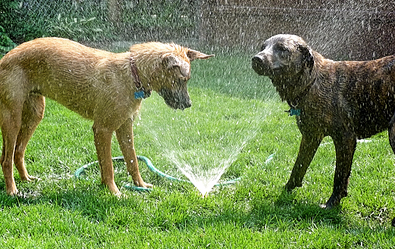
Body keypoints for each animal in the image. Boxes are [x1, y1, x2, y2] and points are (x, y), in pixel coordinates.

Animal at [0, 37, 213, 196]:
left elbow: (132, 160)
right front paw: (113, 191)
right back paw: (12, 190)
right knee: (6, 159)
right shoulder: (103, 129)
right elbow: (109, 165)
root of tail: (4, 59)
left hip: (35, 114)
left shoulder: (125, 127)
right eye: (182, 79)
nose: (188, 104)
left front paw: (140, 185)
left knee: (18, 151)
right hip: (13, 118)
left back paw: (26, 179)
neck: (132, 74)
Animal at [254, 34, 395, 227]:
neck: (312, 82)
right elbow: (298, 167)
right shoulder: (310, 136)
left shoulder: (345, 139)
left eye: (282, 49)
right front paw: (287, 190)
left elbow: (339, 176)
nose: (256, 59)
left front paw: (332, 203)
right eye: (263, 47)